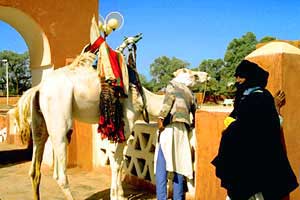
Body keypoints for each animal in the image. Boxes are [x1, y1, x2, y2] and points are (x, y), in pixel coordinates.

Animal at [12, 18, 209, 199]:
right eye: (192, 74)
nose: (206, 74)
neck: (142, 95)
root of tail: (39, 88)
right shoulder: (125, 125)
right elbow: (117, 162)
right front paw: (116, 195)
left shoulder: (113, 129)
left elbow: (117, 162)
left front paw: (119, 193)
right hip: (59, 119)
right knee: (59, 173)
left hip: (39, 121)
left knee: (35, 167)